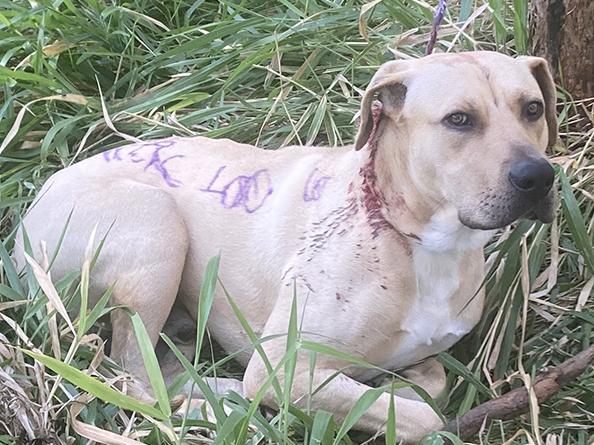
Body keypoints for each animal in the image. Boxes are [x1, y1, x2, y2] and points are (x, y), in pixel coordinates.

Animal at [12, 51, 556, 440]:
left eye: (532, 109)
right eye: (459, 119)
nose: (539, 177)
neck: (408, 235)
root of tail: (32, 205)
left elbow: (431, 382)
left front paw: (402, 384)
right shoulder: (285, 370)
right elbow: (425, 417)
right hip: (157, 224)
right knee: (133, 376)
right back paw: (221, 401)